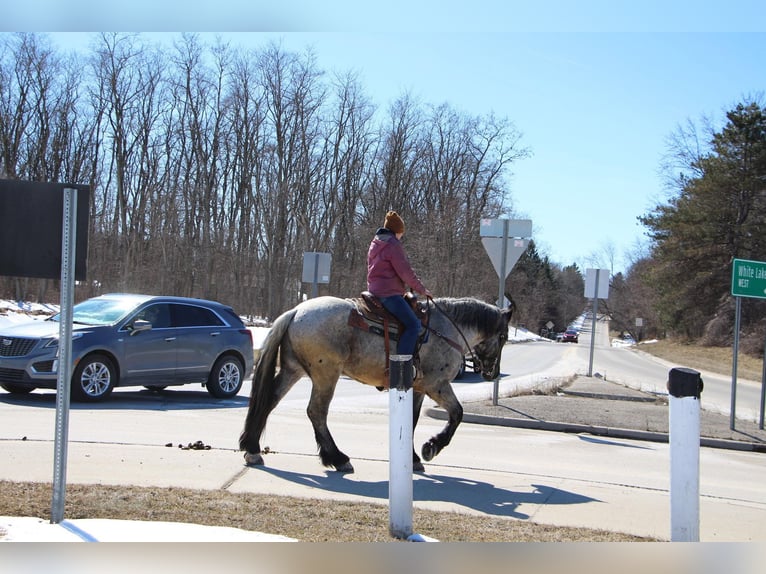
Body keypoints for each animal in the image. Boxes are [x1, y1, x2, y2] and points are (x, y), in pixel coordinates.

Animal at [242, 294, 516, 474]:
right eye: (503, 336)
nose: (492, 373)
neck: (446, 329)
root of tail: (296, 311)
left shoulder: (417, 389)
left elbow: (412, 421)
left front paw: (413, 458)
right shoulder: (436, 385)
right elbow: (457, 413)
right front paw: (431, 447)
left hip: (293, 371)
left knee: (268, 402)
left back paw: (252, 448)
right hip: (326, 374)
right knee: (316, 412)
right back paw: (338, 458)